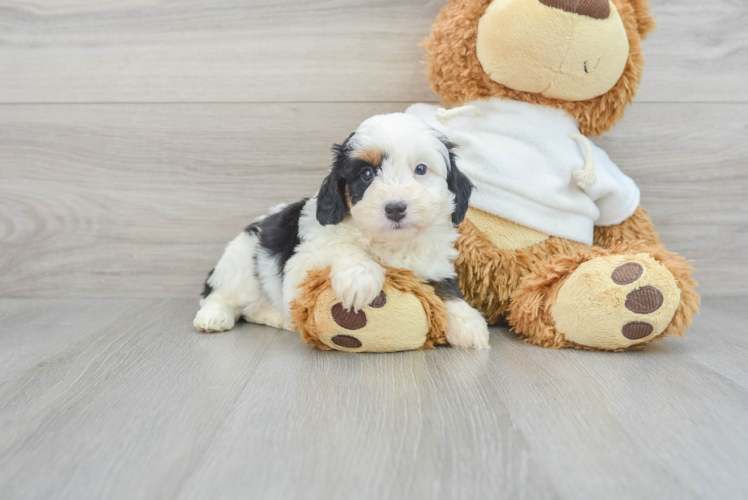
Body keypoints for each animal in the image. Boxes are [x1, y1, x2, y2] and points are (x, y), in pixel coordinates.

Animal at [193, 112, 490, 348]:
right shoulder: (303, 262)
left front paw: (467, 321)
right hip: (240, 260)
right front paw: (360, 278)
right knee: (220, 294)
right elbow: (342, 247)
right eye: (367, 174)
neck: (389, 243)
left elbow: (447, 289)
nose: (395, 208)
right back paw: (214, 316)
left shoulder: (435, 263)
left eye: (420, 169)